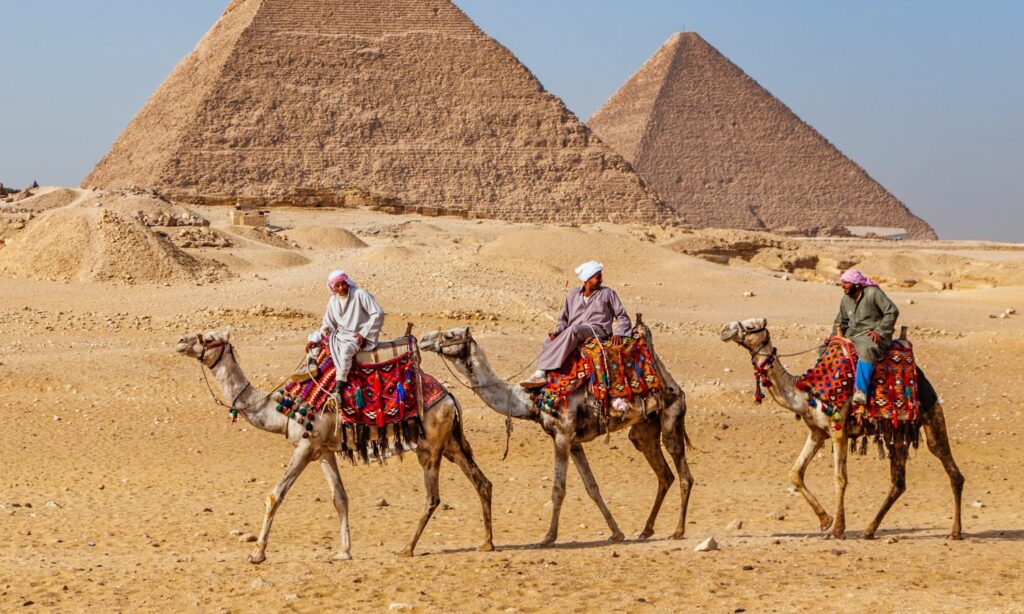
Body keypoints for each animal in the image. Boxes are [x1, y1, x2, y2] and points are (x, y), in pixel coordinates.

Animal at [175, 329, 494, 562]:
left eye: (208, 338)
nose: (180, 341)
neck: (279, 409)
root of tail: (451, 398)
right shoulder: (324, 451)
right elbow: (340, 498)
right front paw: (344, 551)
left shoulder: (305, 446)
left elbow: (275, 495)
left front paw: (257, 553)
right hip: (451, 443)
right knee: (482, 482)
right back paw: (487, 543)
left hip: (430, 447)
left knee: (432, 497)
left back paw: (407, 548)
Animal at [418, 319, 693, 546]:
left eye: (450, 334)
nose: (423, 339)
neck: (531, 399)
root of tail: (672, 383)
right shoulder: (573, 441)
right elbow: (592, 487)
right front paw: (617, 533)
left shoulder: (561, 435)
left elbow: (558, 489)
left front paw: (548, 537)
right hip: (644, 430)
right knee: (664, 474)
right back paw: (646, 530)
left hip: (671, 417)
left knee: (684, 475)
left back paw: (678, 531)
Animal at [720, 318, 964, 540]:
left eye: (751, 325)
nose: (724, 330)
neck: (807, 393)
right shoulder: (817, 432)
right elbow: (795, 473)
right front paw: (825, 520)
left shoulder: (839, 431)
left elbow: (840, 478)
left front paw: (837, 529)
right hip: (894, 434)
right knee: (898, 483)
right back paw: (869, 530)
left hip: (931, 416)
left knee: (950, 469)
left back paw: (955, 532)